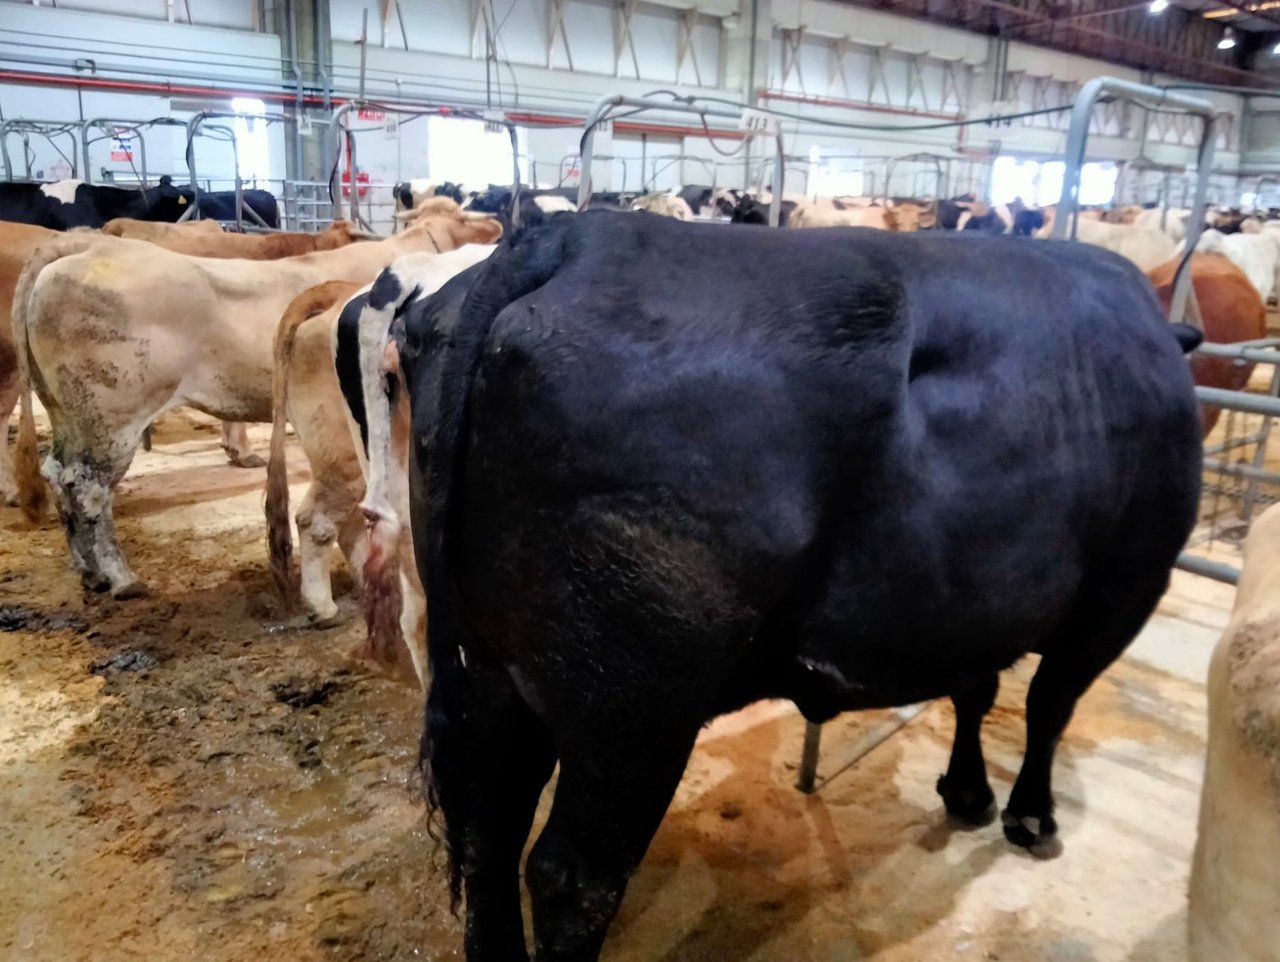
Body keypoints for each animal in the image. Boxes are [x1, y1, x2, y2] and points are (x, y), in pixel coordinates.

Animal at [11, 197, 503, 599]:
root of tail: (85, 247)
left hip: (67, 412)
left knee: (59, 476)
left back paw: (89, 573)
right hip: (111, 419)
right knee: (89, 489)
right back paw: (120, 578)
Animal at [355, 211, 1203, 960]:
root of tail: (572, 235)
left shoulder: (974, 600)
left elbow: (978, 686)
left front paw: (966, 792)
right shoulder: (1126, 585)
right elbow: (1048, 702)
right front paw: (1030, 814)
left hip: (494, 671)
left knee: (487, 835)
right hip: (632, 708)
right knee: (574, 878)